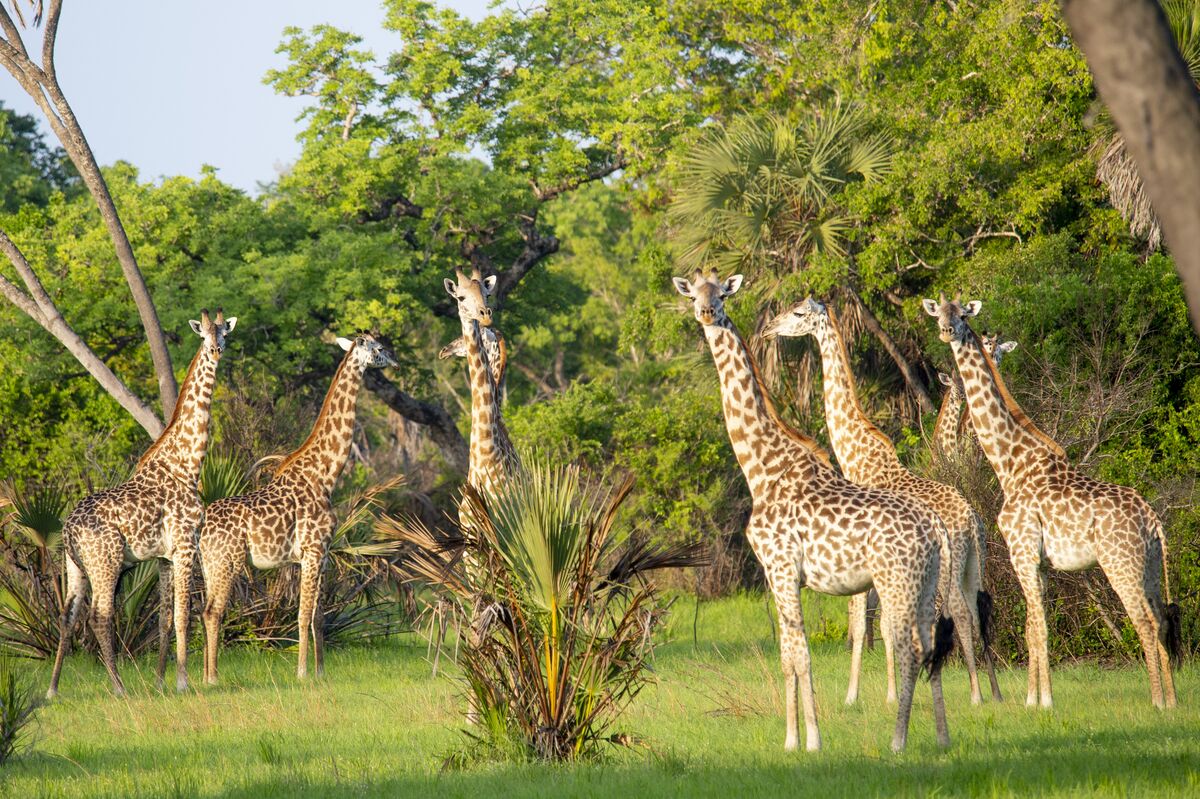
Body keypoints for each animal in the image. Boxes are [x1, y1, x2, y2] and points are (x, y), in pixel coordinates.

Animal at [47, 309, 236, 698]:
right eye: (203, 334)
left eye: (225, 333)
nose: (216, 350)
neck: (187, 463)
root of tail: (70, 529)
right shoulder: (185, 545)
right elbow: (183, 615)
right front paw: (182, 682)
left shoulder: (164, 556)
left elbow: (165, 619)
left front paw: (162, 680)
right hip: (106, 561)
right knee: (100, 615)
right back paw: (119, 687)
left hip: (75, 566)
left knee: (67, 616)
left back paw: (53, 689)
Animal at [198, 331, 396, 684]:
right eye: (379, 348)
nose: (396, 361)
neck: (326, 474)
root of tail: (202, 528)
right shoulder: (312, 550)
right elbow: (303, 615)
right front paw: (303, 672)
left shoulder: (324, 553)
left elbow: (318, 616)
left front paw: (320, 671)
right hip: (227, 561)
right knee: (213, 612)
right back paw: (213, 678)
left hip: (209, 564)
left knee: (207, 610)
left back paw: (207, 675)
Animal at [673, 271, 954, 753]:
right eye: (693, 293)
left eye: (722, 294)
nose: (707, 313)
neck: (760, 467)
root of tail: (936, 528)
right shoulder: (775, 574)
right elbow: (787, 655)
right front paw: (791, 738)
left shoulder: (783, 568)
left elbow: (800, 655)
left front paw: (811, 740)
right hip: (926, 581)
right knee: (929, 644)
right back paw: (941, 737)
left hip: (896, 581)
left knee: (910, 647)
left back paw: (898, 740)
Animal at [764, 298, 1002, 705]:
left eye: (797, 313)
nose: (768, 329)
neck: (857, 455)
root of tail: (970, 519)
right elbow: (883, 623)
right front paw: (890, 689)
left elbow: (866, 624)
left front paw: (859, 695)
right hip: (976, 561)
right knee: (977, 610)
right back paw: (994, 691)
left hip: (950, 564)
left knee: (957, 614)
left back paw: (973, 695)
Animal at [923, 295, 1181, 708]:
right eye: (940, 314)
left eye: (963, 315)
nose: (948, 331)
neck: (1010, 462)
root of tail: (1152, 521)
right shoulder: (1040, 561)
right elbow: (1034, 626)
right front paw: (1034, 697)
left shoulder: (1022, 551)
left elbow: (1036, 626)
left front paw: (1041, 700)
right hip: (1152, 565)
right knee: (1159, 618)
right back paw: (1171, 700)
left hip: (1120, 563)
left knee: (1143, 620)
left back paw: (1157, 701)